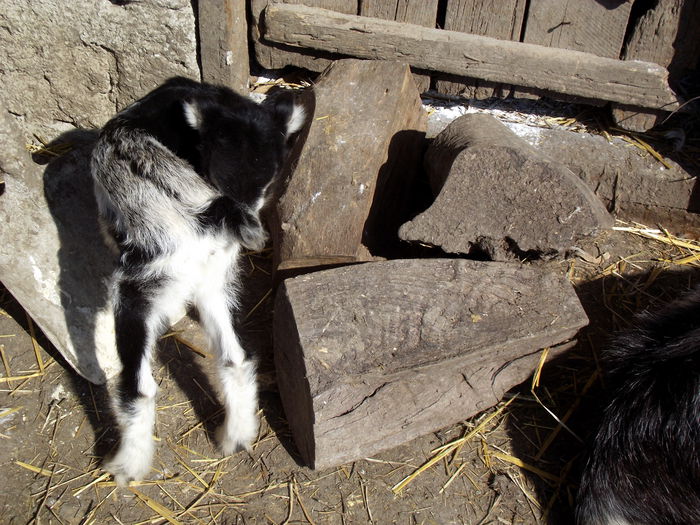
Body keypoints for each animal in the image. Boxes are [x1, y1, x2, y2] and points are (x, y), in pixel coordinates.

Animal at [90, 77, 305, 484]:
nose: (249, 228)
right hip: (213, 281)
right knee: (236, 357)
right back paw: (237, 435)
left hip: (136, 293)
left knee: (138, 387)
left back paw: (128, 465)